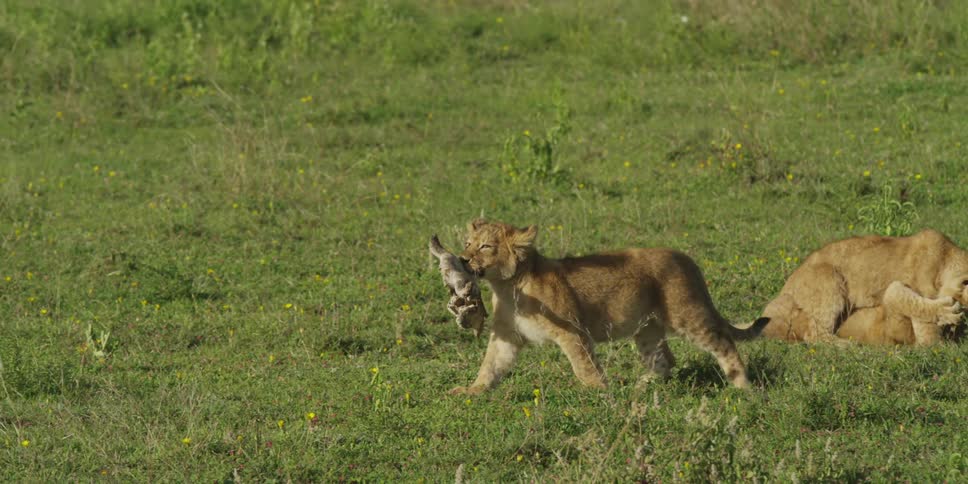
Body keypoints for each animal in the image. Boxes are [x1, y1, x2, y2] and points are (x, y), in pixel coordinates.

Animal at [449, 219, 769, 395]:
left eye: (485, 247)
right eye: (468, 243)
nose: (462, 259)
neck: (507, 286)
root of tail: (686, 258)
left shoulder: (572, 331)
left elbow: (584, 366)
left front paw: (600, 395)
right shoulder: (506, 336)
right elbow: (490, 366)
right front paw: (471, 391)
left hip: (687, 315)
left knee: (724, 344)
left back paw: (743, 388)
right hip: (648, 328)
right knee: (664, 359)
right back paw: (640, 388)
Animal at [760, 229, 967, 345]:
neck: (945, 257)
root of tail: (785, 290)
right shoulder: (912, 287)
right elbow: (921, 314)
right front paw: (945, 316)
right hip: (830, 278)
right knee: (814, 334)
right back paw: (848, 346)